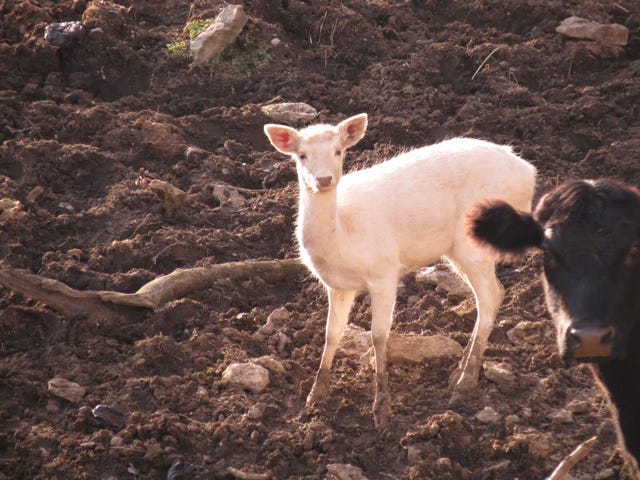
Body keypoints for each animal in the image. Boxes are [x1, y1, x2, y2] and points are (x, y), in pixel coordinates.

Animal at [263, 113, 536, 428]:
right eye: (301, 155)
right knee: (494, 294)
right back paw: (458, 371)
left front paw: (382, 410)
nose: (323, 179)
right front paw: (313, 398)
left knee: (491, 295)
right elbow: (332, 333)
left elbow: (379, 335)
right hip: (456, 249)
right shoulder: (338, 285)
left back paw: (464, 383)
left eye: (338, 151)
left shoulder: (384, 271)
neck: (344, 237)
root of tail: (529, 173)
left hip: (472, 243)